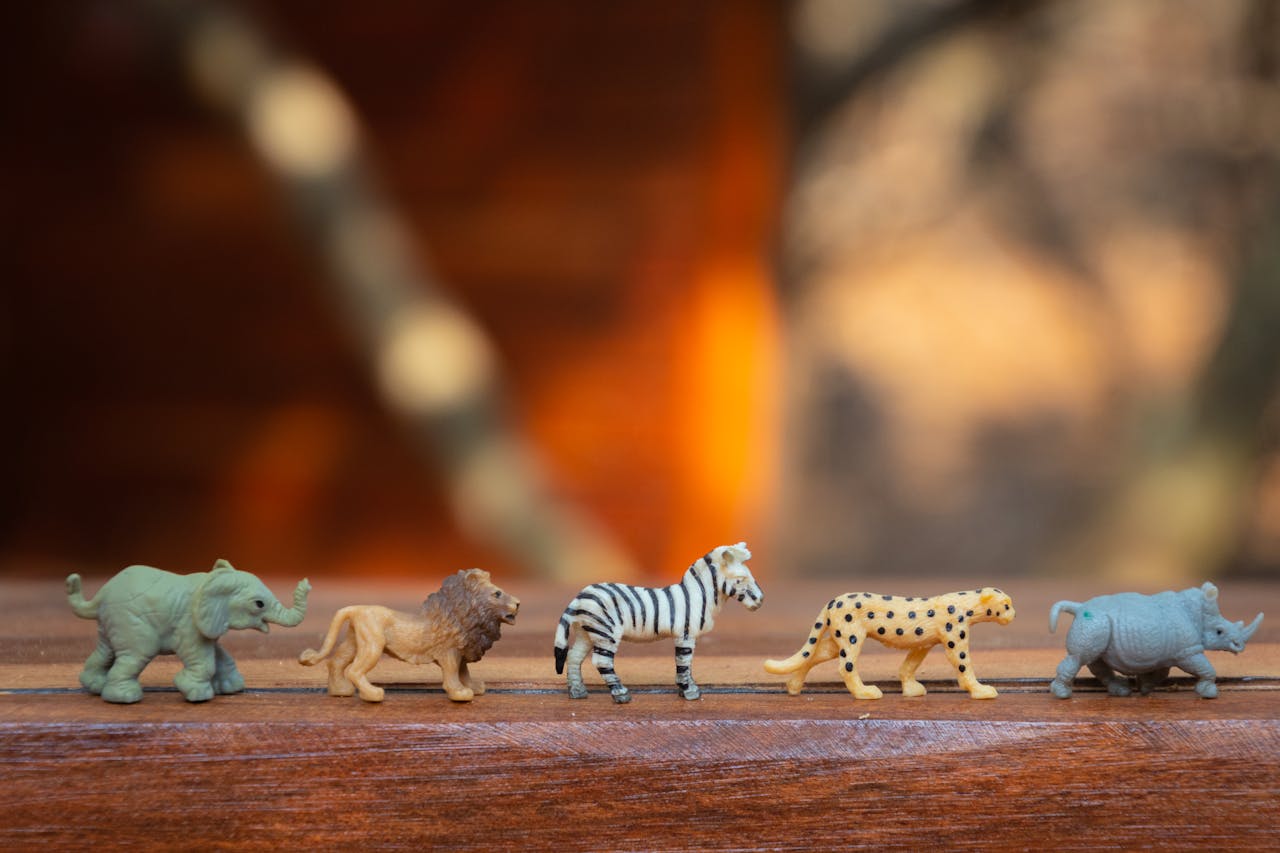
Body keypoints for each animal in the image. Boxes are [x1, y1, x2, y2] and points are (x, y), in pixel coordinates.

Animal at [550, 540, 757, 701]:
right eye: (740, 579)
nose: (760, 601)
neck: (696, 596)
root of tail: (579, 596)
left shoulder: (688, 637)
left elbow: (687, 664)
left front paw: (688, 688)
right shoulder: (685, 635)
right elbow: (684, 662)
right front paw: (688, 691)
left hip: (586, 632)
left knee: (574, 657)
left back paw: (577, 692)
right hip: (606, 633)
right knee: (602, 661)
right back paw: (620, 694)